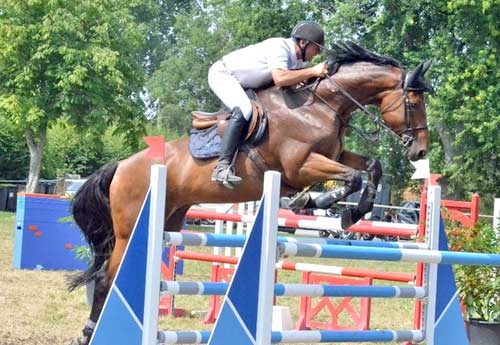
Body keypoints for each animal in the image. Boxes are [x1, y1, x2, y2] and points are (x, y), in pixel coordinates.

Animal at [70, 41, 434, 342]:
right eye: (414, 102)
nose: (420, 151)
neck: (320, 107)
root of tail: (122, 165)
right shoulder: (300, 165)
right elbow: (352, 178)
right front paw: (321, 202)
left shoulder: (334, 155)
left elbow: (371, 167)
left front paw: (348, 210)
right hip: (128, 231)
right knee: (104, 279)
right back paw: (89, 333)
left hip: (167, 222)